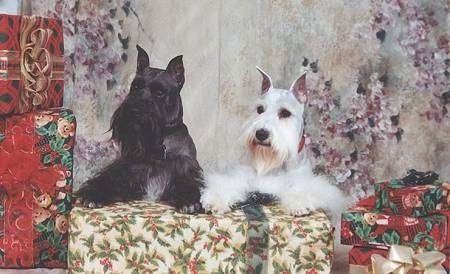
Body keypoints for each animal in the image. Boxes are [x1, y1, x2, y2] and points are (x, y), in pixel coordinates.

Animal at [76, 45, 204, 213]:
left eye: (160, 92)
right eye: (136, 86)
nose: (133, 111)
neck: (160, 142)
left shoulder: (186, 167)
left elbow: (187, 182)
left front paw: (188, 201)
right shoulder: (125, 168)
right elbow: (108, 180)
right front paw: (93, 194)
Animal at [200, 66, 348, 223]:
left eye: (285, 113)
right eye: (260, 109)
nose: (261, 133)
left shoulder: (301, 181)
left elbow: (300, 190)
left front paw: (299, 205)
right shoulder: (243, 178)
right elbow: (227, 184)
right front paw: (216, 200)